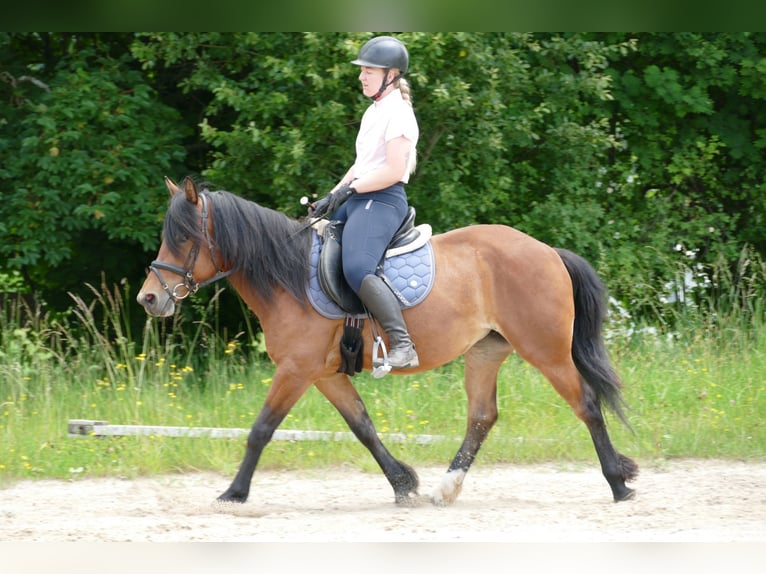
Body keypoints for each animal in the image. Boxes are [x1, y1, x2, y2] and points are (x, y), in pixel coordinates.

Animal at [135, 178, 640, 506]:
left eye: (185, 238)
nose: (149, 298)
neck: (289, 277)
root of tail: (547, 250)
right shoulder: (323, 374)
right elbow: (363, 426)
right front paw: (403, 482)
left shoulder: (296, 370)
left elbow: (261, 429)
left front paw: (234, 492)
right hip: (486, 351)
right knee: (482, 417)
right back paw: (446, 488)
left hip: (546, 351)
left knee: (586, 404)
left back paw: (617, 483)